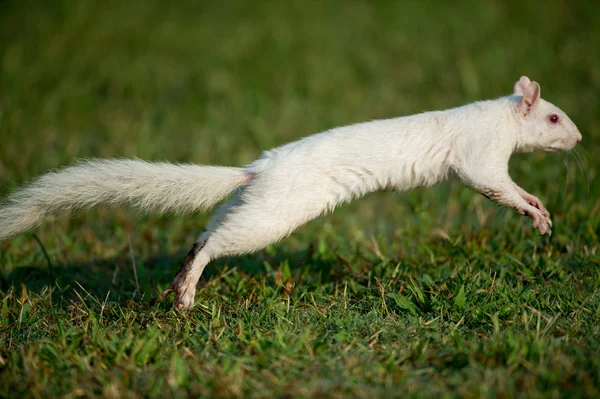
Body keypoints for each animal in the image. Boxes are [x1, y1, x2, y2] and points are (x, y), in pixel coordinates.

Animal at [0, 76, 580, 310]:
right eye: (554, 116)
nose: (578, 138)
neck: (498, 116)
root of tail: (256, 168)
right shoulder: (481, 156)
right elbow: (496, 187)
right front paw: (538, 215)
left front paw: (542, 212)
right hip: (273, 215)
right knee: (218, 244)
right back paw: (187, 293)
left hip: (248, 206)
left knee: (204, 234)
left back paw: (181, 286)